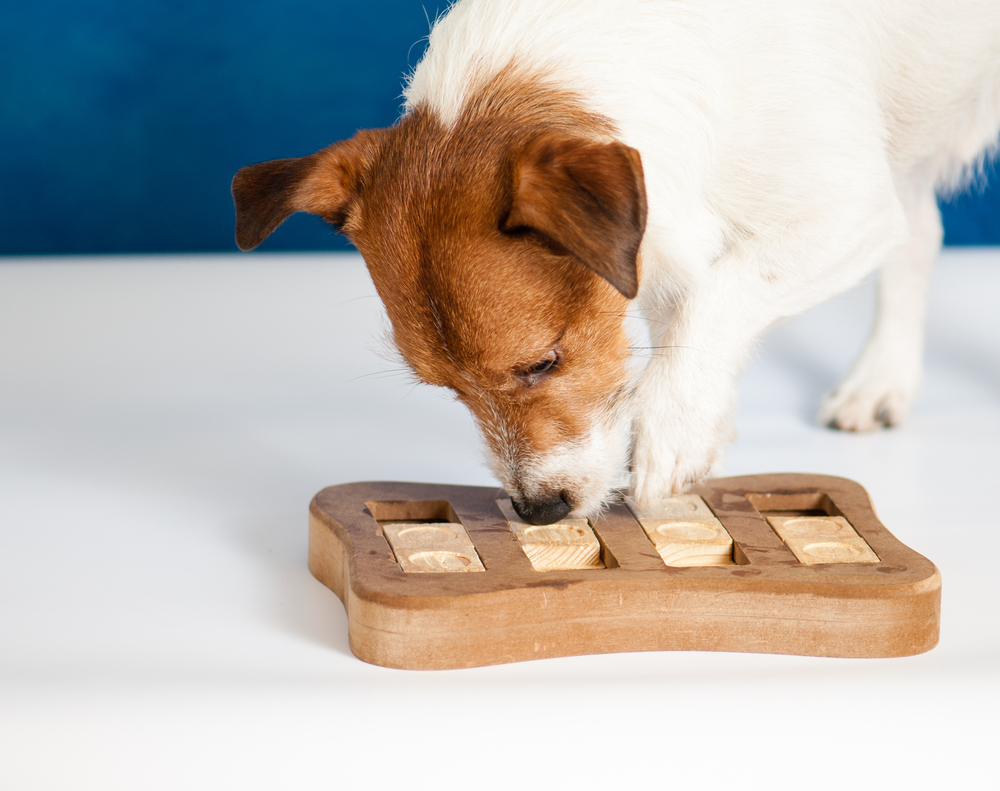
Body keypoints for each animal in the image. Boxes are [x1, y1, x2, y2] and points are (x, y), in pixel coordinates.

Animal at [234, 1, 1000, 524]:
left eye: (543, 362)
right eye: (445, 388)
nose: (538, 511)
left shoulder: (847, 211)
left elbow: (720, 297)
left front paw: (674, 431)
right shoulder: (660, 257)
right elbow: (682, 326)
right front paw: (702, 423)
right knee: (924, 233)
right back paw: (882, 381)